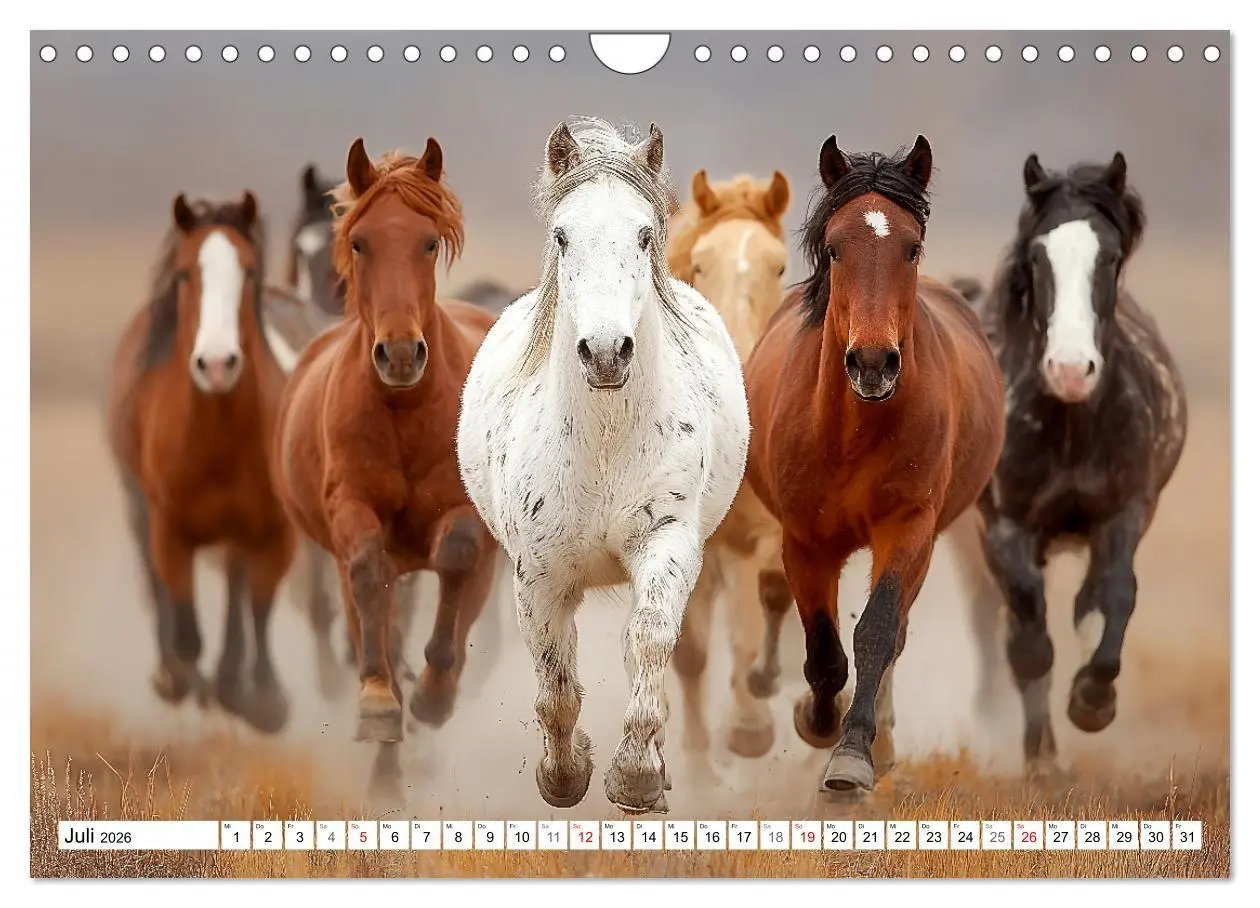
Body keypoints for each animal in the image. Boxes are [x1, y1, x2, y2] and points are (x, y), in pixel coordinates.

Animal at [105, 192, 296, 734]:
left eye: (248, 271)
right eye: (186, 273)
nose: (215, 364)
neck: (215, 436)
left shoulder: (272, 530)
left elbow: (259, 605)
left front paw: (261, 699)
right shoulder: (170, 530)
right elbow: (185, 627)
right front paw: (185, 679)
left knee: (236, 591)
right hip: (138, 508)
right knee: (157, 588)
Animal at [272, 137, 499, 759]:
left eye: (428, 241)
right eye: (359, 241)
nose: (399, 354)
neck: (404, 414)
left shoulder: (462, 515)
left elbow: (458, 559)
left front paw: (435, 691)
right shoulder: (351, 509)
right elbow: (368, 579)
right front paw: (378, 697)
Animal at [456, 118, 750, 813]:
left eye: (644, 235)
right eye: (562, 236)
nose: (607, 351)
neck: (605, 442)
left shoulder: (667, 543)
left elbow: (649, 641)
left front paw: (636, 776)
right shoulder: (538, 574)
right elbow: (555, 682)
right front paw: (565, 774)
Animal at [742, 135, 1006, 793]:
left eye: (910, 247)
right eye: (835, 248)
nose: (872, 362)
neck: (853, 432)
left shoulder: (908, 527)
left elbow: (877, 633)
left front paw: (852, 754)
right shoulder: (805, 541)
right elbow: (823, 649)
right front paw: (815, 721)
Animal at [945, 152, 1187, 773]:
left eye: (1111, 256)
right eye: (1038, 256)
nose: (1072, 370)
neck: (1073, 430)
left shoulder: (1124, 514)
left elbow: (1112, 599)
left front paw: (1093, 701)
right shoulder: (1006, 529)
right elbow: (1030, 642)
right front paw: (1043, 761)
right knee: (992, 624)